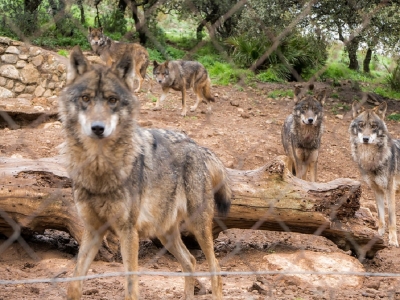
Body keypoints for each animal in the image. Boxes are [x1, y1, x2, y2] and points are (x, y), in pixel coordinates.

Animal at [61, 45, 233, 300]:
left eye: (112, 100)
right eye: (85, 98)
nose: (98, 128)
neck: (100, 170)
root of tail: (198, 146)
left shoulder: (128, 233)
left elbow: (131, 289)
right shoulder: (93, 231)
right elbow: (73, 284)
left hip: (199, 227)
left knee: (216, 269)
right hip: (164, 233)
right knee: (190, 261)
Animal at [348, 102, 398, 247]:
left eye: (374, 126)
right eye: (361, 125)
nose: (366, 139)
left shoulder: (389, 190)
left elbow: (391, 218)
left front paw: (393, 240)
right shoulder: (377, 190)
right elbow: (381, 216)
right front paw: (379, 234)